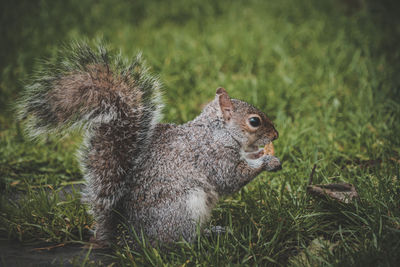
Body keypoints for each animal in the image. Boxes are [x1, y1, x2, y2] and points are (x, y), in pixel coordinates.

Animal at [18, 42, 282, 247]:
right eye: (254, 121)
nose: (276, 135)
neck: (218, 132)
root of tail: (128, 236)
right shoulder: (212, 156)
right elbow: (232, 177)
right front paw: (266, 161)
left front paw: (266, 155)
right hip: (184, 209)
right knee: (178, 241)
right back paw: (203, 239)